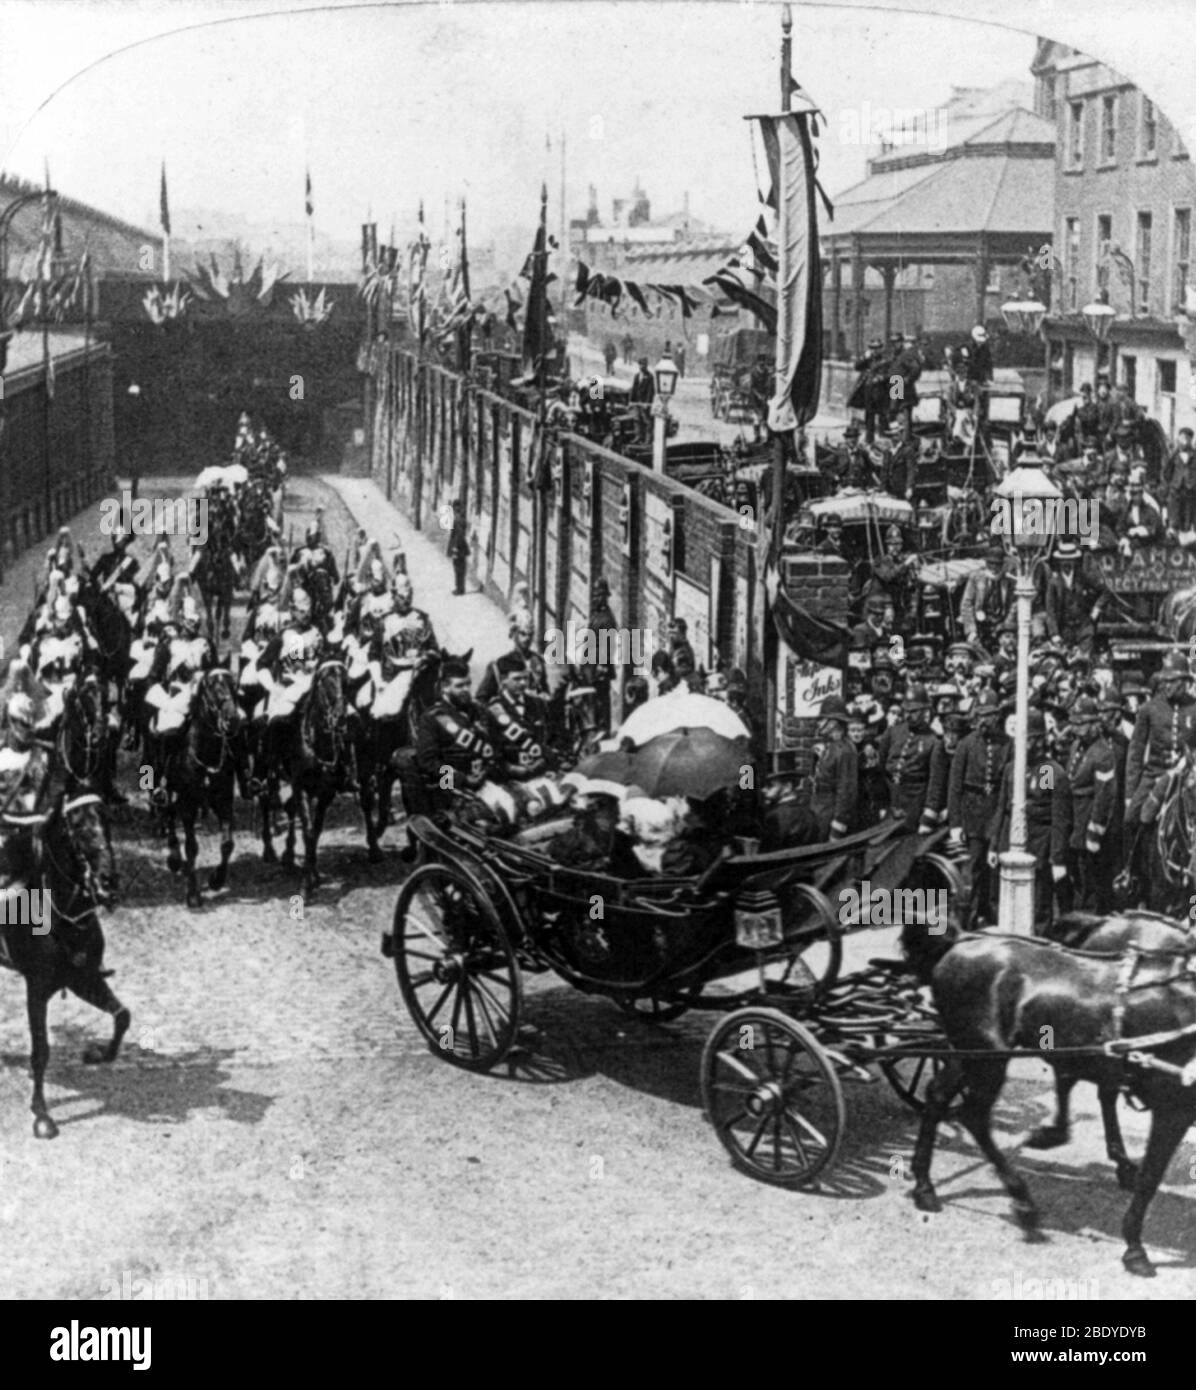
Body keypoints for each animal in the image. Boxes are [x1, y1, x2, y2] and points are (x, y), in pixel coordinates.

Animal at [1, 795, 126, 1139]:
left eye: (107, 821)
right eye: (79, 827)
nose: (109, 881)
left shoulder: (83, 978)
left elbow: (122, 1015)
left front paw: (100, 1053)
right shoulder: (36, 990)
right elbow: (41, 1051)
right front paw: (42, 1114)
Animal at [162, 667, 248, 906]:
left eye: (234, 685)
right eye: (211, 688)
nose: (232, 719)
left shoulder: (224, 802)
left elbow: (227, 844)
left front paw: (216, 880)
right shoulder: (187, 805)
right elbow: (191, 847)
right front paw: (193, 894)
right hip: (169, 794)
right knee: (168, 816)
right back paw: (174, 858)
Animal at [901, 911, 1196, 1278]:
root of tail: (961, 940)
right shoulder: (1173, 1108)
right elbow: (1150, 1178)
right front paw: (1134, 1248)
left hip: (968, 1052)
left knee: (938, 1096)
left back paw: (924, 1186)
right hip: (987, 1056)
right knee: (974, 1115)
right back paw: (1024, 1201)